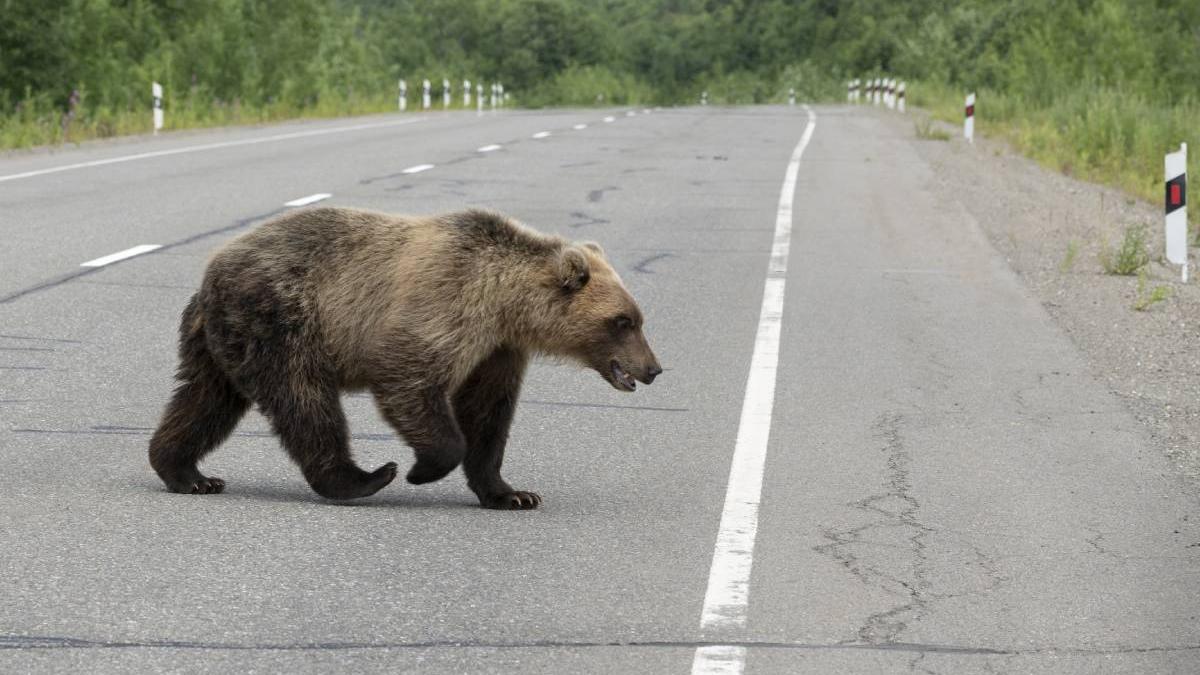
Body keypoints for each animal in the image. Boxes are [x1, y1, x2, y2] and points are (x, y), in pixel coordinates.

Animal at [147, 205, 667, 504]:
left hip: (222, 341)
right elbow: (408, 377)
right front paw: (422, 469)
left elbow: (488, 414)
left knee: (205, 399)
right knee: (304, 400)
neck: (505, 304)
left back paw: (186, 472)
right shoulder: (447, 303)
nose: (654, 368)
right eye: (623, 321)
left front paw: (512, 493)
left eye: (637, 317)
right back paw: (364, 477)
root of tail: (211, 271)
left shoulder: (496, 349)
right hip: (282, 319)